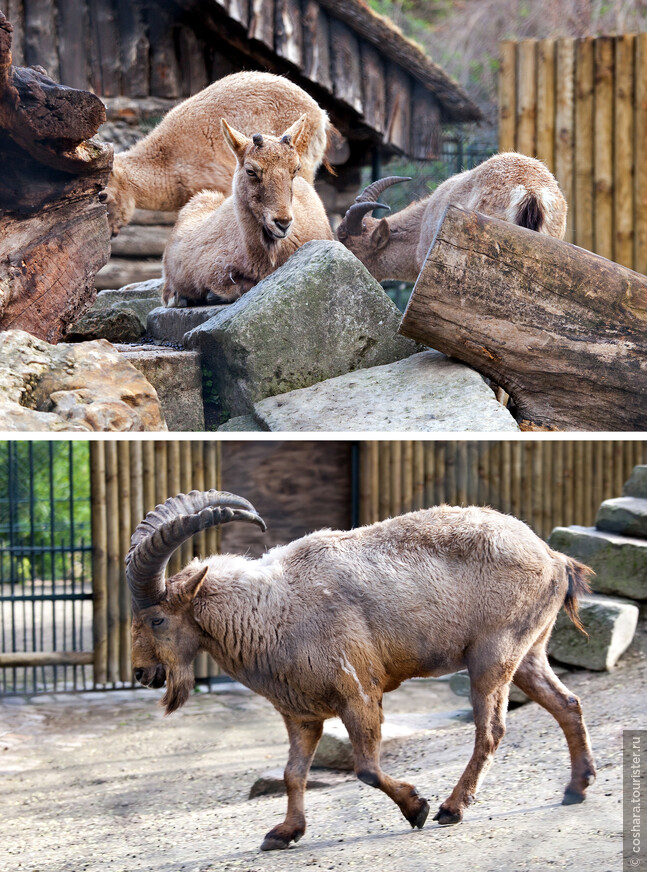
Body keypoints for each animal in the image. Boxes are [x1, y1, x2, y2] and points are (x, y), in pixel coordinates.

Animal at [128, 490, 596, 852]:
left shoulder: (359, 692)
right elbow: (293, 773)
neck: (270, 610)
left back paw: (452, 807)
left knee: (492, 729)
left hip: (493, 654)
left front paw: (417, 807)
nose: (141, 673)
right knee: (568, 702)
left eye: (157, 620)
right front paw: (283, 833)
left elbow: (366, 768)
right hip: (528, 652)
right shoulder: (301, 713)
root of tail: (554, 558)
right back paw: (576, 787)